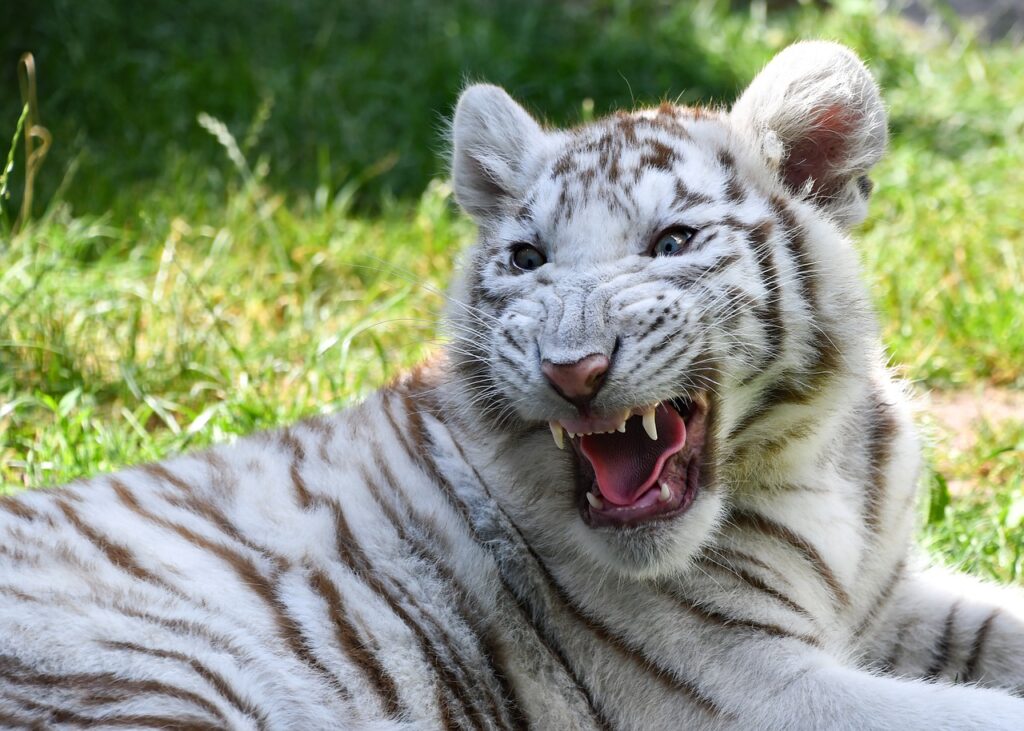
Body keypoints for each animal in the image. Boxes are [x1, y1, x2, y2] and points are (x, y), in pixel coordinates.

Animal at [3, 40, 1024, 730]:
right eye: (529, 258)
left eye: (673, 242)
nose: (573, 371)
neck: (812, 458)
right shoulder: (740, 681)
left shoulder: (889, 599)